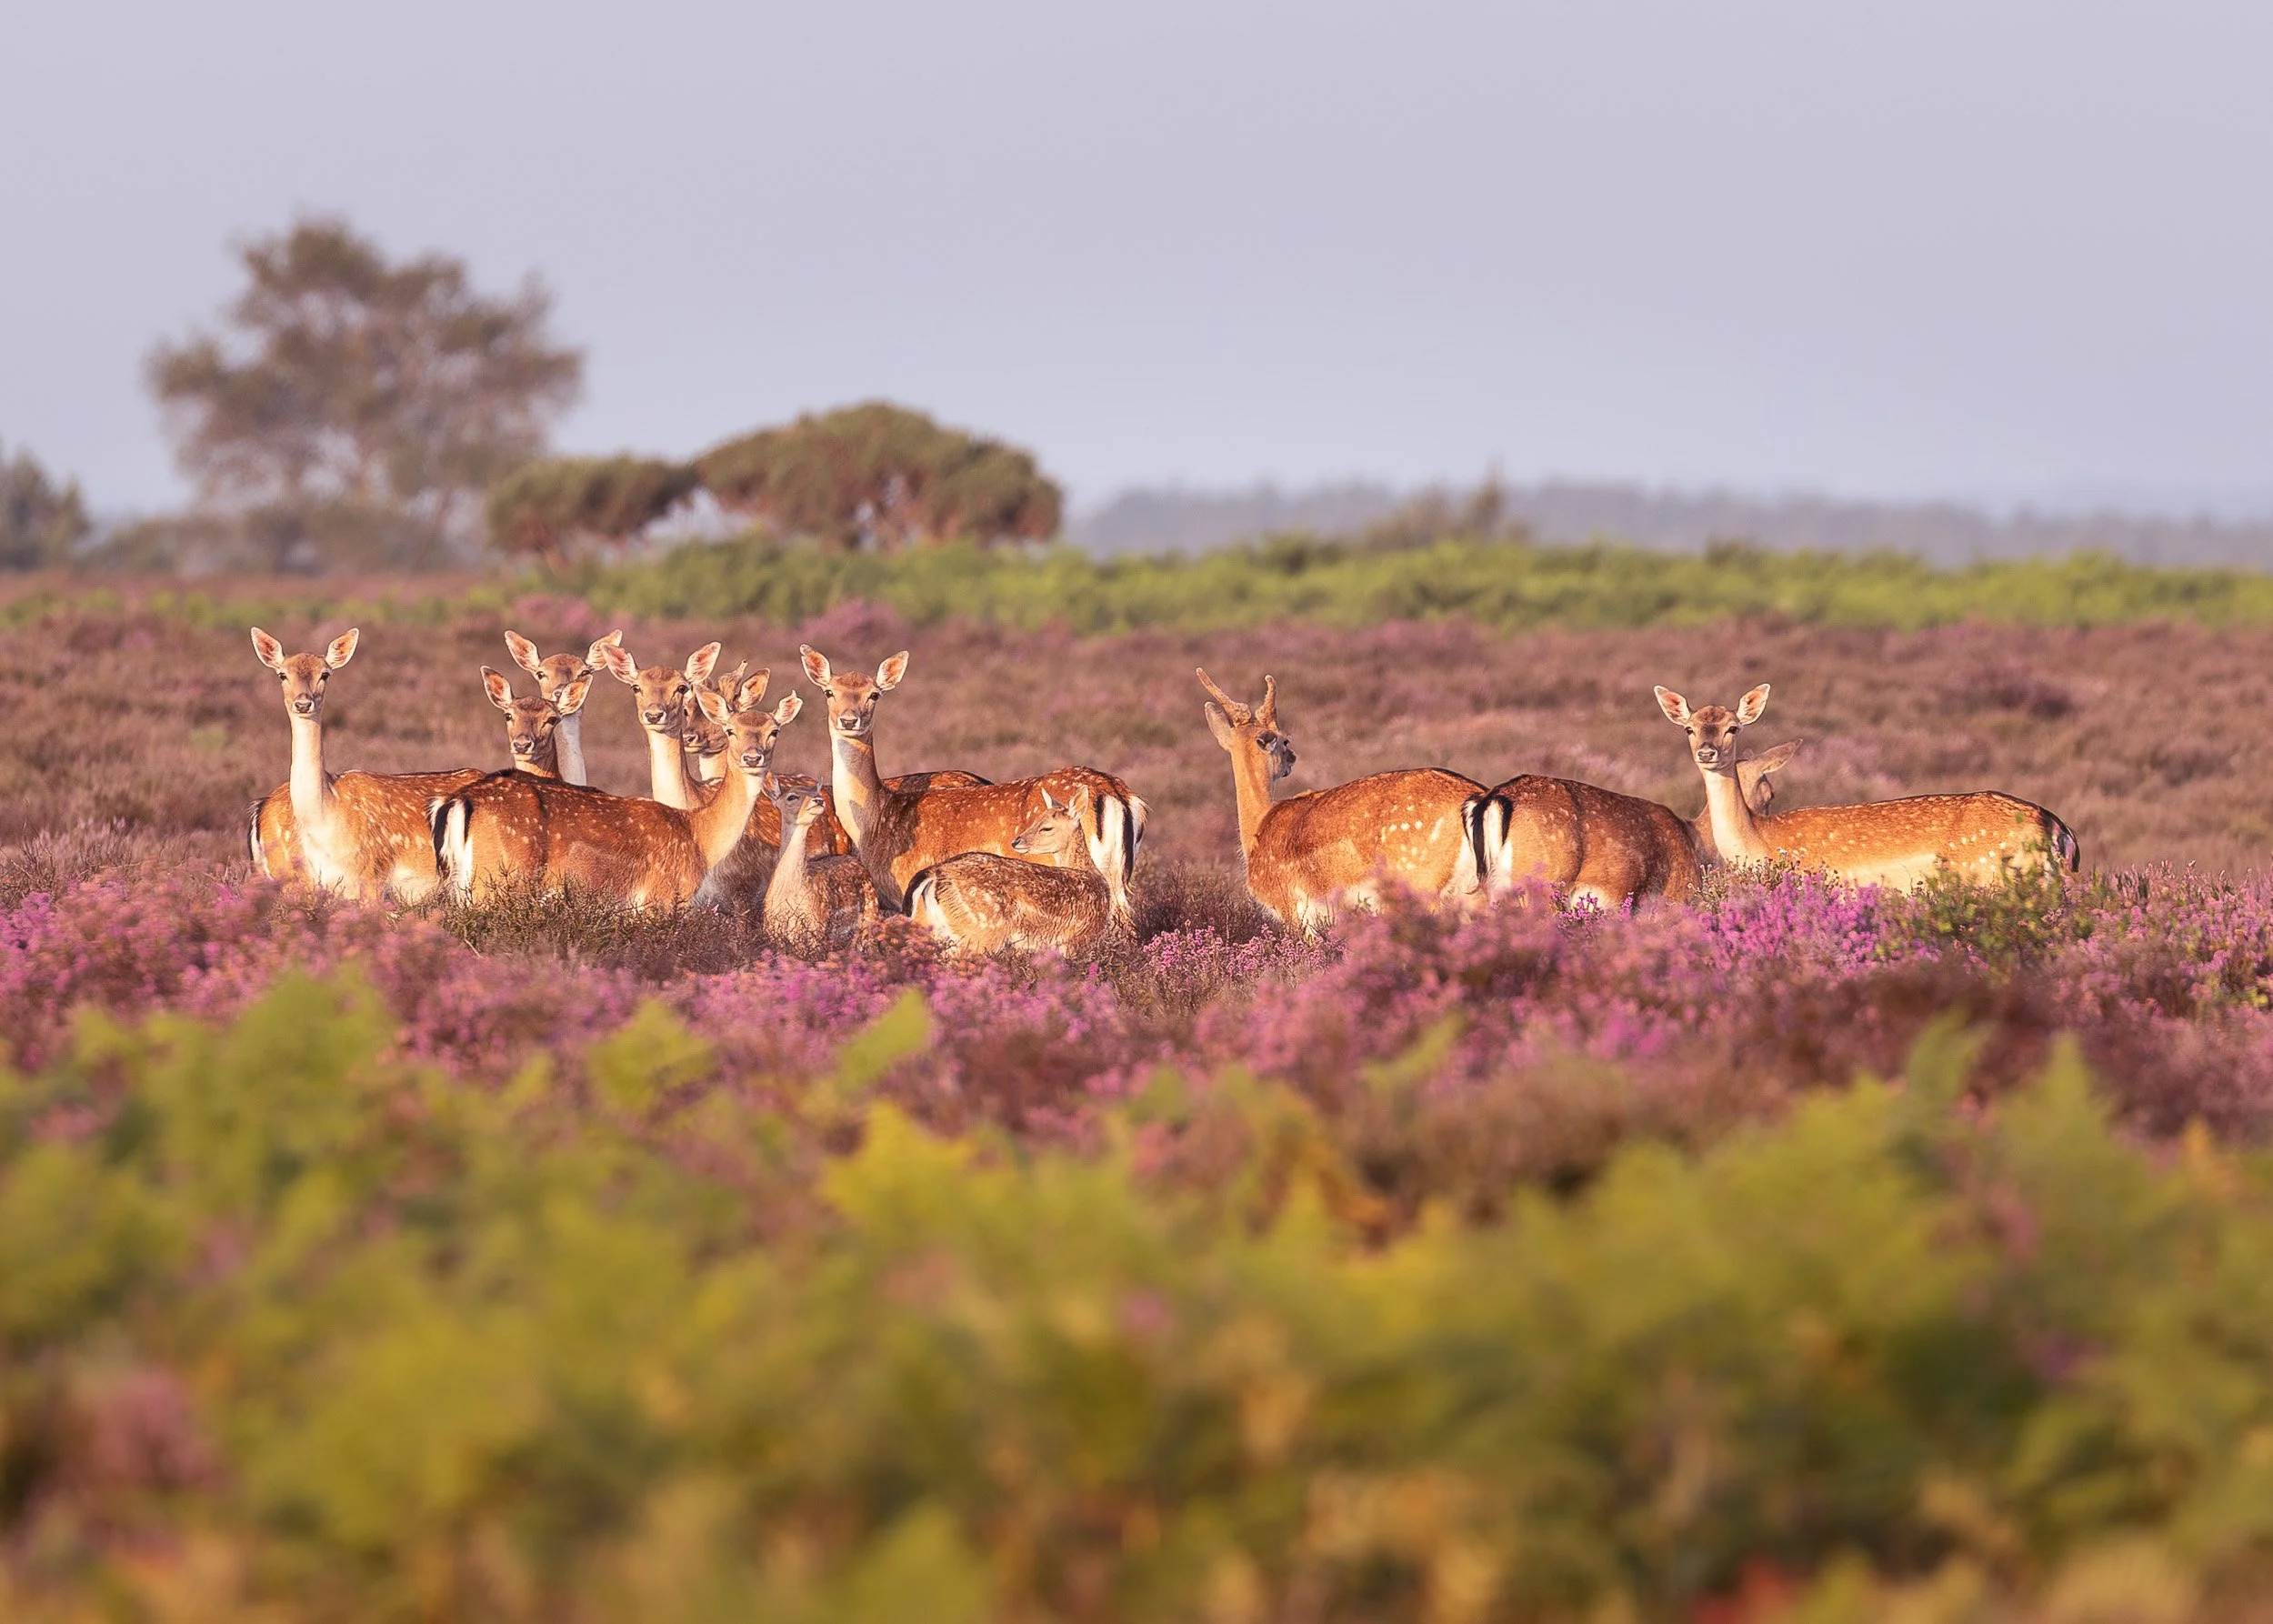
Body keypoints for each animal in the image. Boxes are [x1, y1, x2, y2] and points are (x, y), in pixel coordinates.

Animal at [433, 675, 796, 908]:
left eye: (774, 731)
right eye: (731, 730)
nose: (753, 757)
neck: (699, 839)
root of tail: (459, 801)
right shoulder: (659, 899)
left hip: (462, 885)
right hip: (498, 879)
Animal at [761, 772, 882, 959]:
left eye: (814, 791)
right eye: (792, 796)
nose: (818, 800)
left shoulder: (816, 929)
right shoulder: (772, 932)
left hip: (871, 914)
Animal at [798, 645, 1146, 916]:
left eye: (874, 695)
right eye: (829, 691)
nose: (849, 720)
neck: (875, 821)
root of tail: (1114, 791)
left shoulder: (908, 887)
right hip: (1120, 876)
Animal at [905, 785, 1123, 959]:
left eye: (1046, 828)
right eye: (1035, 821)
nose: (1017, 841)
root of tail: (935, 872)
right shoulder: (1080, 938)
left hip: (935, 927)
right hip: (981, 931)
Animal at [1466, 740, 1800, 910]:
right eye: (1770, 793)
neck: (1698, 845)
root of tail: (1493, 799)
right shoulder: (1672, 900)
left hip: (1490, 891)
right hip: (1543, 884)